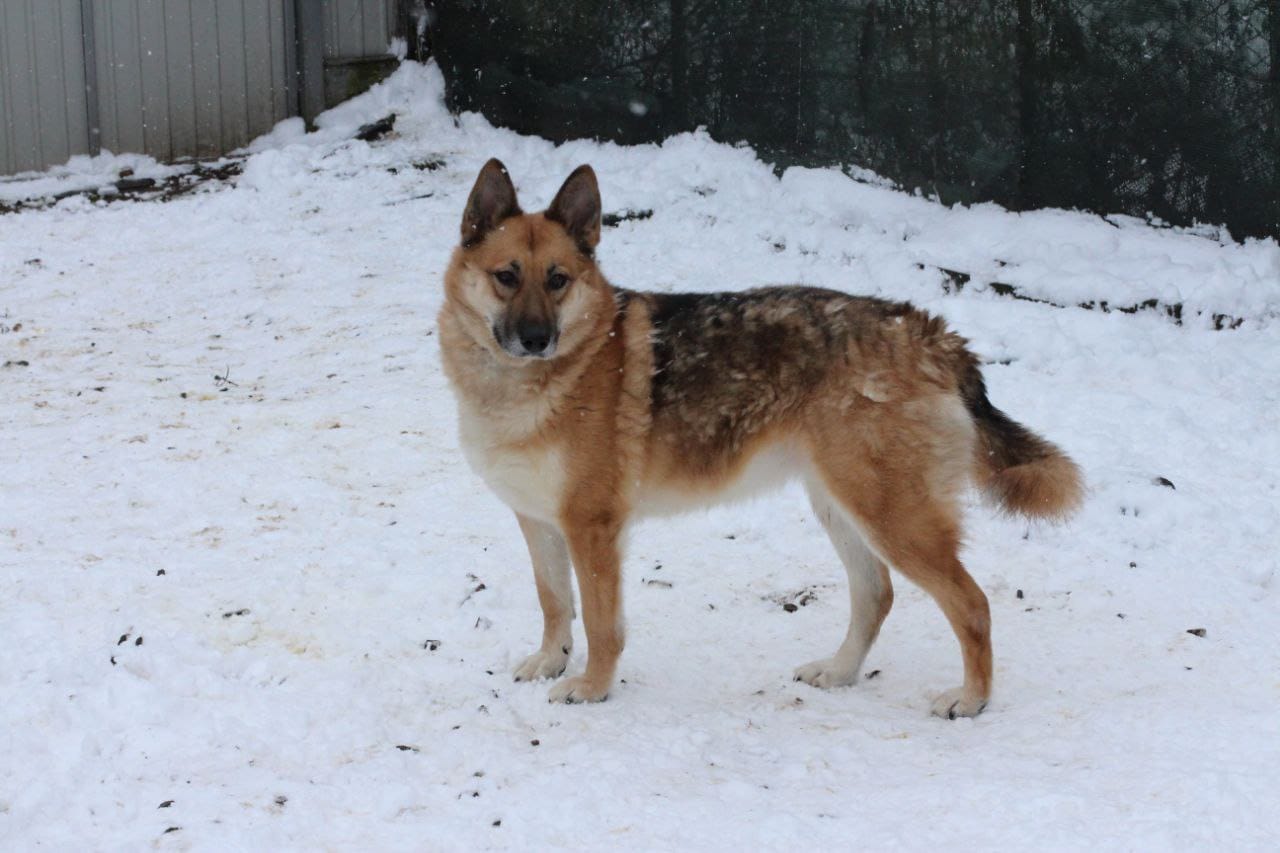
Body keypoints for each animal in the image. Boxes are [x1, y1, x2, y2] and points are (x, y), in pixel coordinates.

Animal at [438, 159, 1083, 718]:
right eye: (506, 277)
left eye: (558, 281)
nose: (535, 338)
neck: (536, 382)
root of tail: (931, 333)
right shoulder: (538, 520)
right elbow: (554, 603)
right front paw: (551, 662)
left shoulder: (592, 527)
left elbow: (600, 624)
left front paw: (592, 688)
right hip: (840, 504)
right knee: (877, 594)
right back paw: (839, 672)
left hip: (892, 515)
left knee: (971, 604)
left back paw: (971, 700)